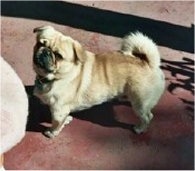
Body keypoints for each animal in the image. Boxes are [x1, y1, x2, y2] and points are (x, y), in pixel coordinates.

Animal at [33, 25, 165, 138]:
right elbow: (64, 119)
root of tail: (149, 64)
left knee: (147, 116)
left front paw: (52, 133)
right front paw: (67, 120)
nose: (45, 51)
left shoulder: (58, 111)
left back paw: (140, 129)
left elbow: (55, 124)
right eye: (40, 43)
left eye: (58, 55)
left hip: (140, 103)